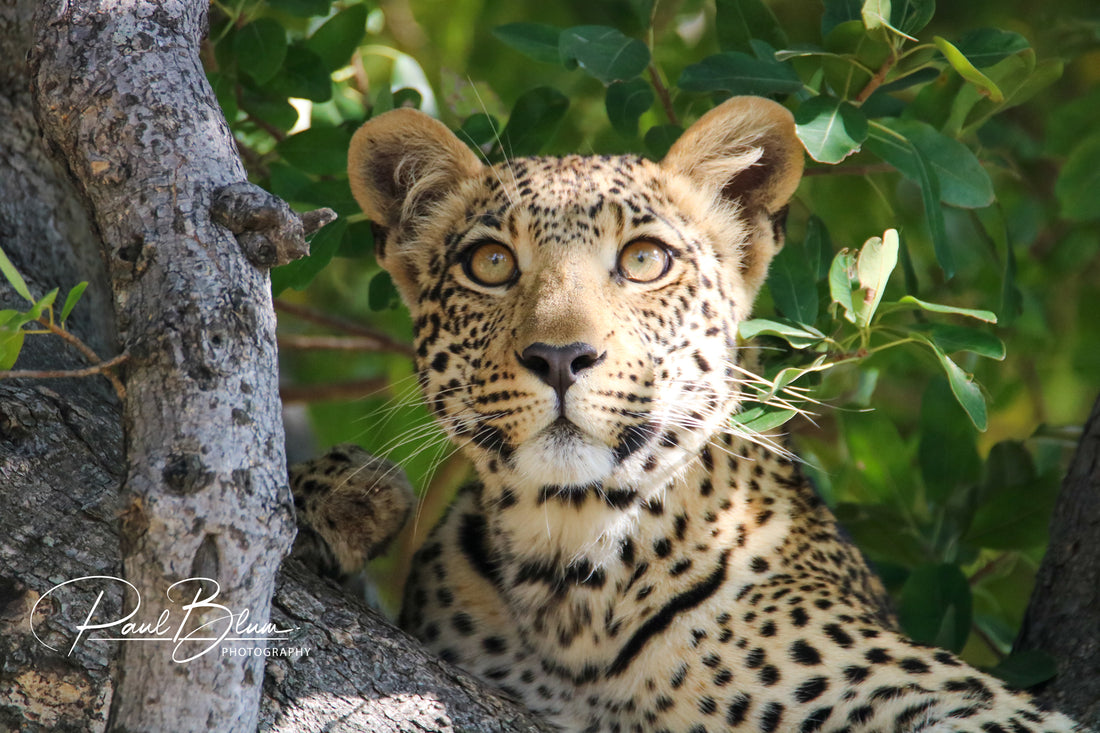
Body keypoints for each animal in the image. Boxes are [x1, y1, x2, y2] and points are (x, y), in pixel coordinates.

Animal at [288, 96, 1095, 730]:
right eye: (490, 265)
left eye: (645, 260)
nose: (560, 356)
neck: (572, 575)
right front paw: (341, 494)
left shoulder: (951, 696)